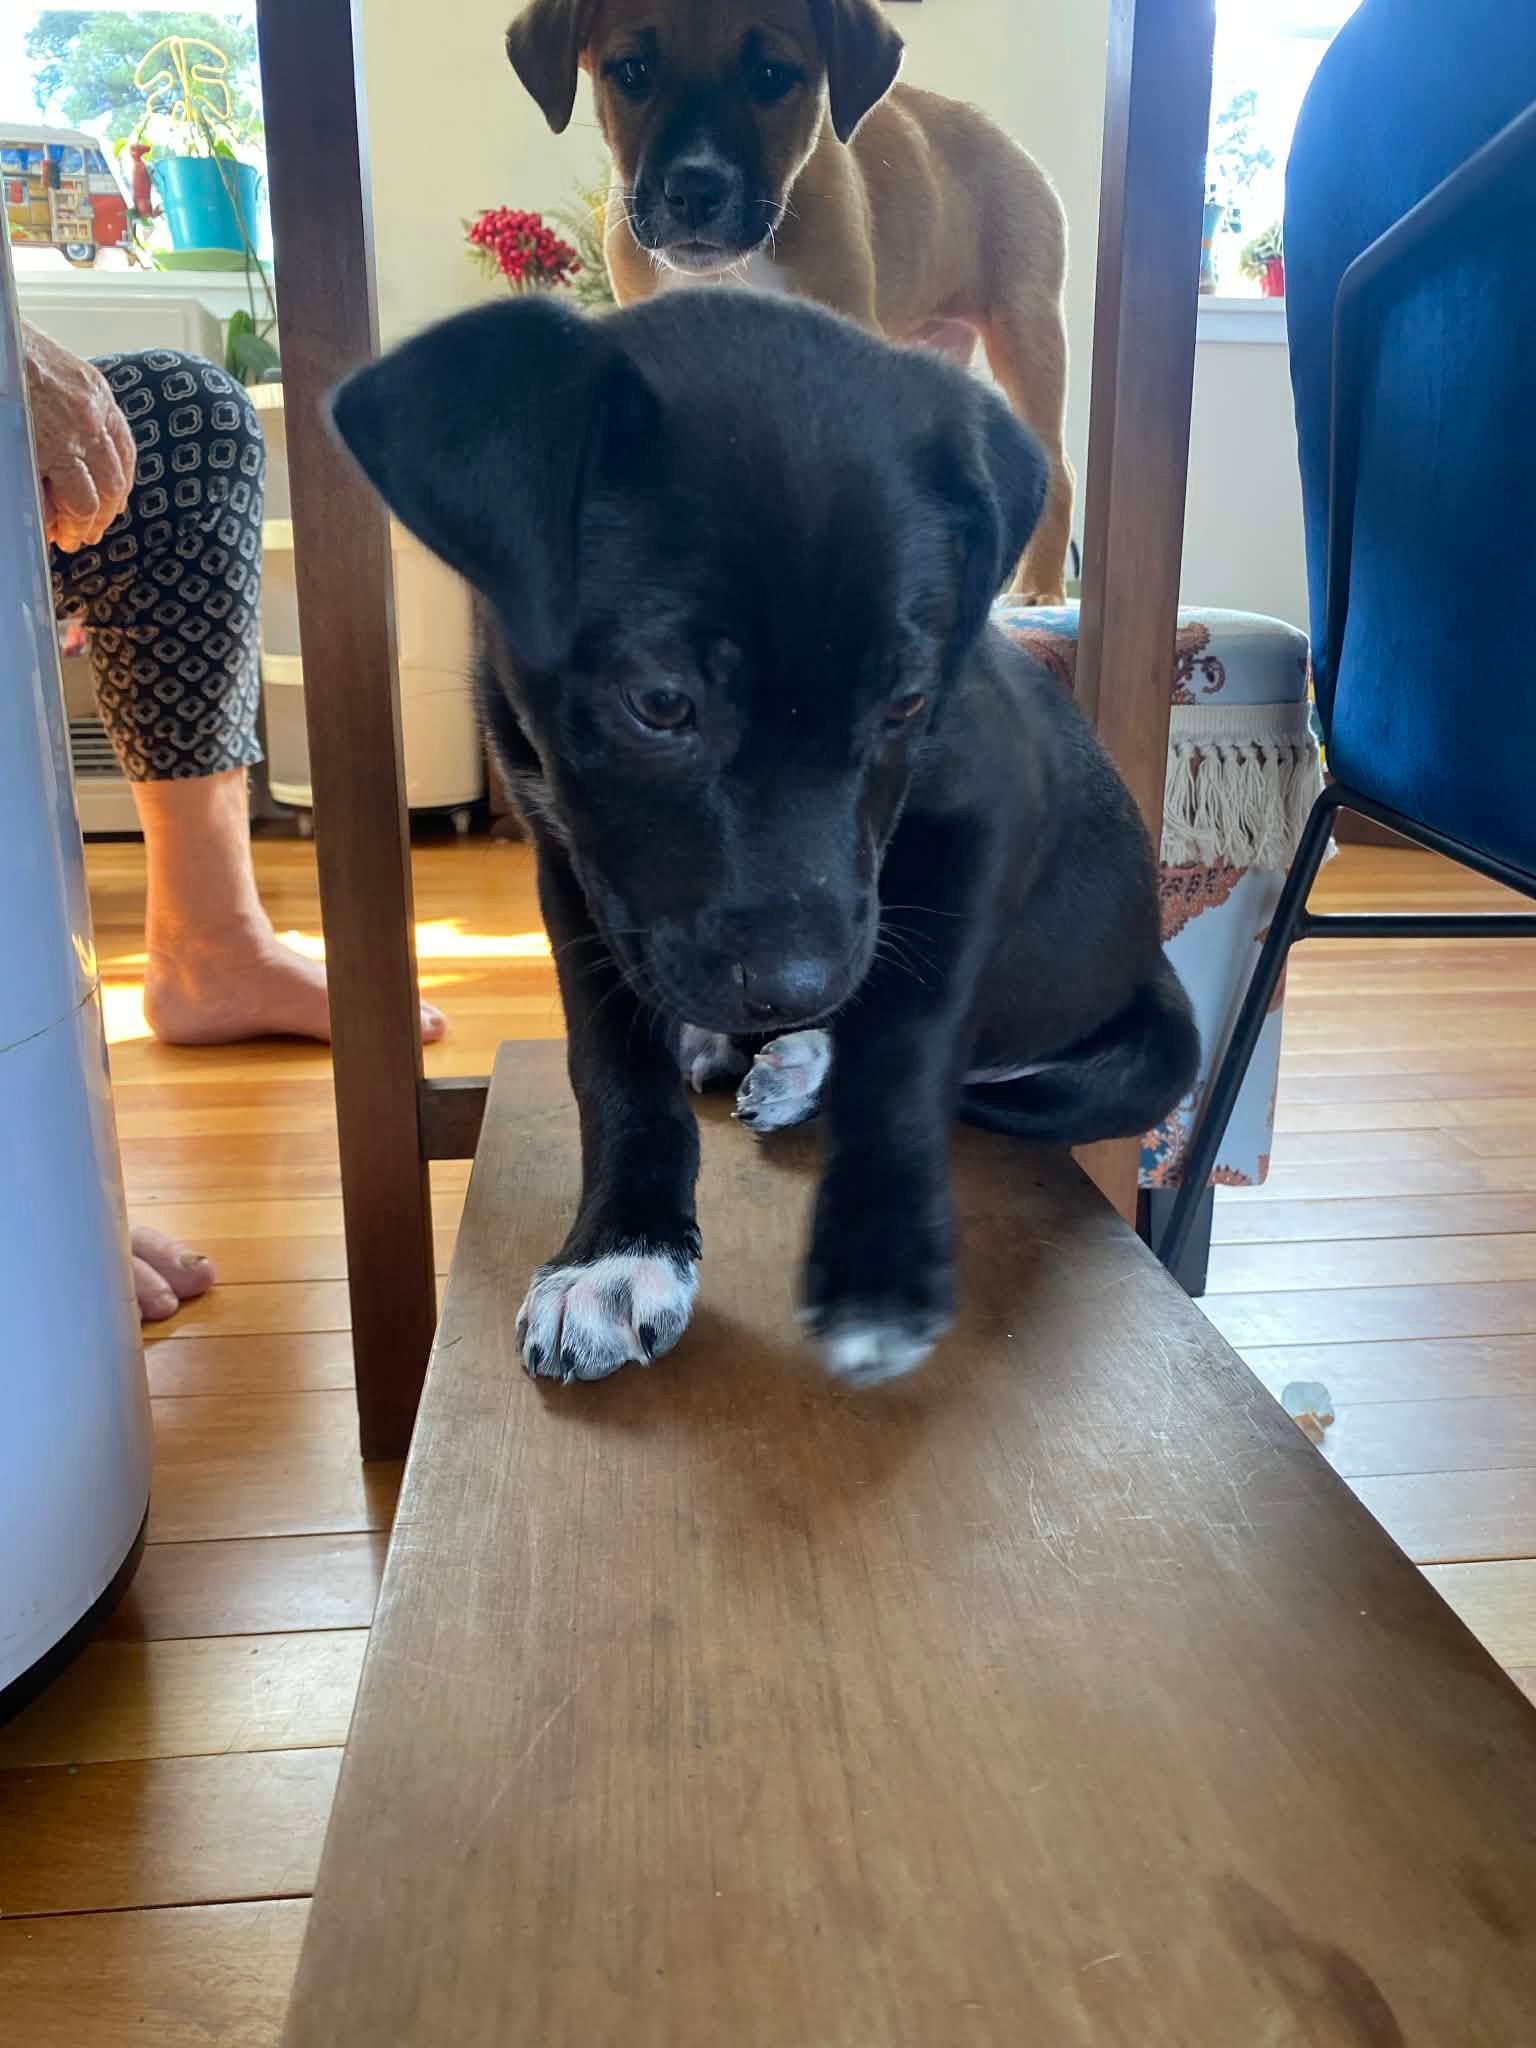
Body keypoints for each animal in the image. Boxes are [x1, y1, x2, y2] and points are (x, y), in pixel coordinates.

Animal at [330, 291, 1197, 1388]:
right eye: (661, 704)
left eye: (907, 702)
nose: (799, 989)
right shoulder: (577, 865)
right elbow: (612, 1069)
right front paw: (619, 1250)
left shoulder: (983, 819)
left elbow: (910, 1047)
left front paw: (877, 1266)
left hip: (1148, 1058)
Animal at [504, 0, 1076, 604]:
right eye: (633, 71)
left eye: (771, 75)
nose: (695, 191)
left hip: (1026, 330)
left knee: (1057, 469)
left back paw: (1037, 591)